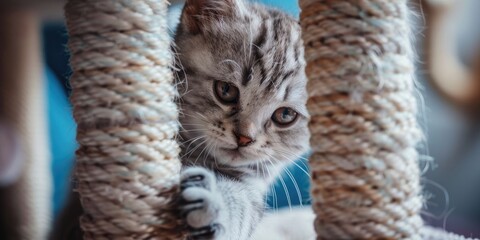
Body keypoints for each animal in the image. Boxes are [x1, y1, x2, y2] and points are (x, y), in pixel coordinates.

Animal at [174, 0, 310, 238]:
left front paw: (213, 203)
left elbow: (243, 207)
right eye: (226, 90)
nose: (244, 138)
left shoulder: (251, 186)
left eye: (285, 115)